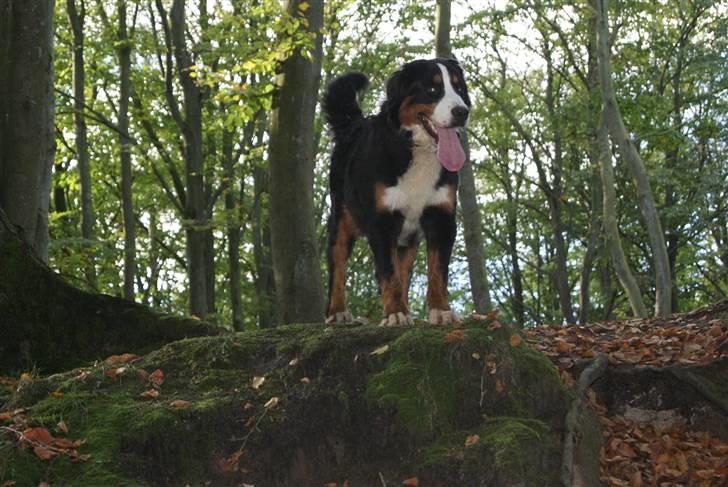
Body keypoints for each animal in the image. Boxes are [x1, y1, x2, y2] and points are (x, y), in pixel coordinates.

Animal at [322, 58, 470, 328]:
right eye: (432, 89)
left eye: (459, 88)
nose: (461, 112)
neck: (416, 151)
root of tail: (355, 123)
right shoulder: (382, 220)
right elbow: (387, 272)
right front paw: (395, 314)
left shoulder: (441, 217)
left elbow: (437, 271)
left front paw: (440, 310)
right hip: (342, 217)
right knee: (337, 262)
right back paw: (337, 311)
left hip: (407, 239)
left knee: (403, 270)